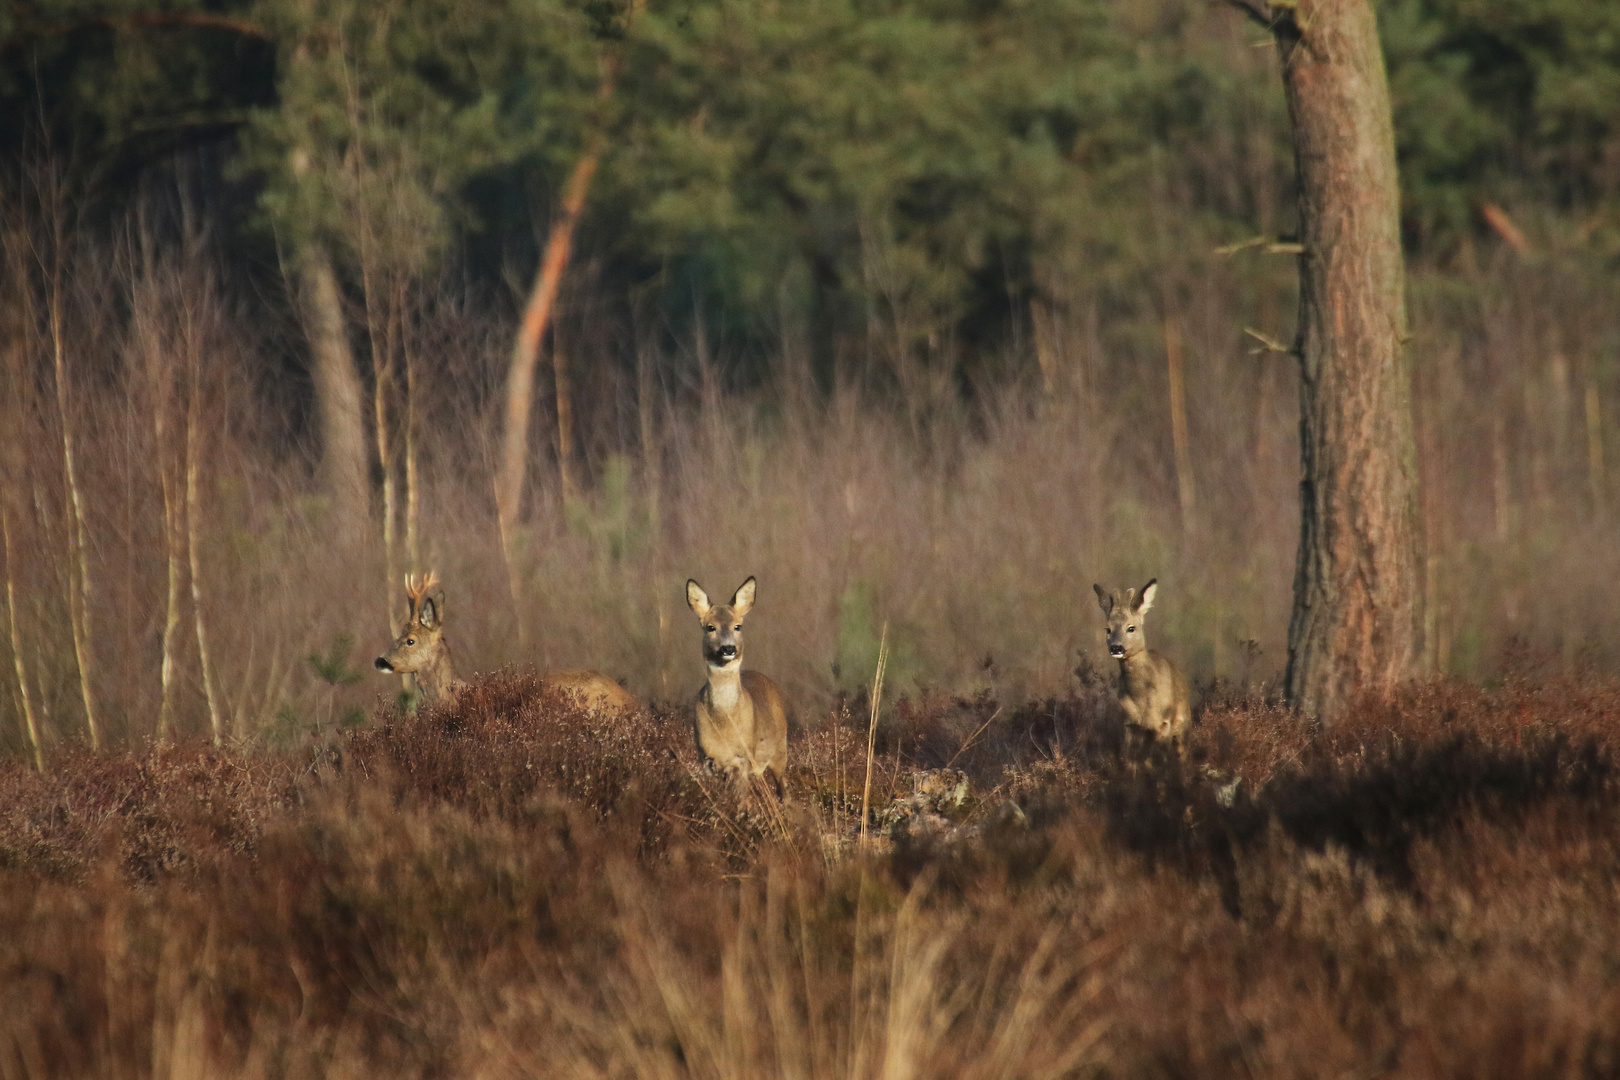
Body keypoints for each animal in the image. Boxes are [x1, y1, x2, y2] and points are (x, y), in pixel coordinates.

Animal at [683, 579, 790, 799]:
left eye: (737, 626)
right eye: (710, 627)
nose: (728, 648)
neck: (725, 723)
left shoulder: (743, 756)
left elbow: (742, 800)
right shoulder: (706, 757)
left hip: (780, 749)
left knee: (784, 790)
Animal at [1088, 579, 1192, 764]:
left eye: (1131, 628)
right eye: (1107, 629)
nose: (1116, 647)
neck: (1142, 696)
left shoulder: (1163, 723)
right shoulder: (1130, 724)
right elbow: (1133, 761)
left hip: (1183, 723)